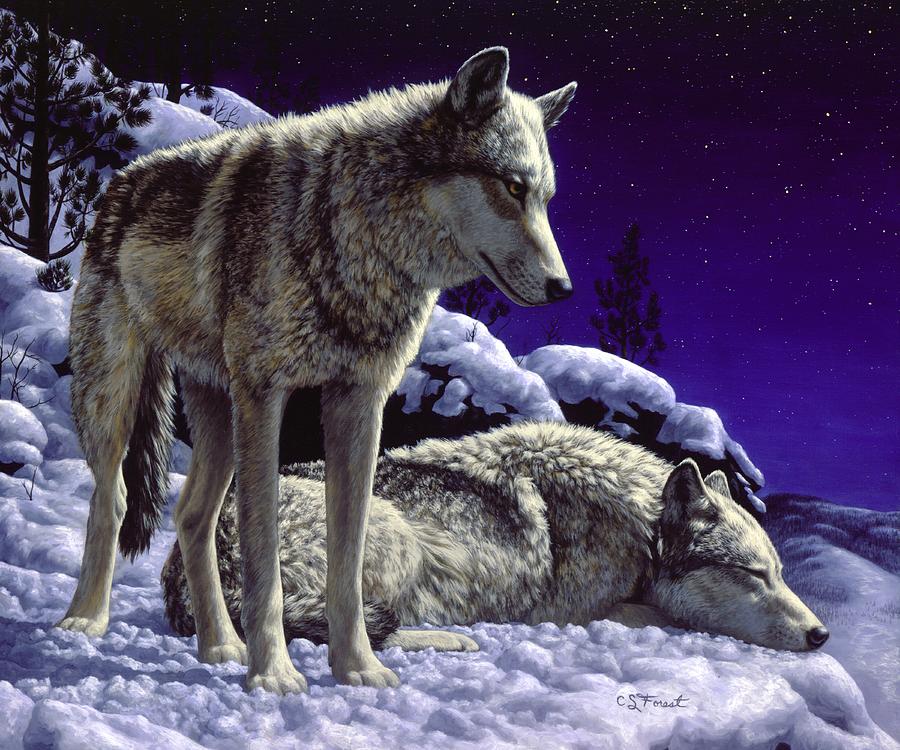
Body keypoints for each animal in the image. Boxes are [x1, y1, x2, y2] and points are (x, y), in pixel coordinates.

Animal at [55, 46, 578, 693]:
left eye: (545, 199)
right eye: (511, 186)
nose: (563, 288)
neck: (349, 234)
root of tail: (120, 183)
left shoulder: (360, 400)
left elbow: (348, 564)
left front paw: (358, 668)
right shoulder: (263, 394)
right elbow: (264, 560)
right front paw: (274, 675)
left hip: (216, 413)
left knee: (191, 516)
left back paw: (220, 645)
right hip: (115, 399)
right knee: (114, 500)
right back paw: (85, 620)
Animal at [162, 422, 829, 654]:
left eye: (780, 572)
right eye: (752, 575)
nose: (822, 635)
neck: (634, 528)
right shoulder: (573, 611)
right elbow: (659, 616)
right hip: (393, 536)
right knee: (360, 626)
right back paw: (453, 638)